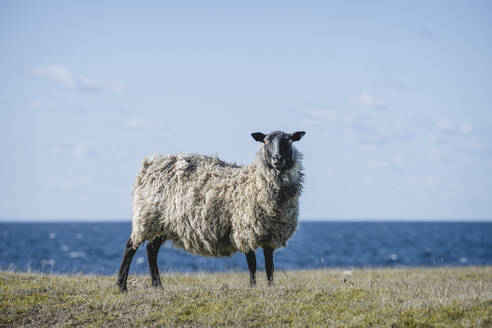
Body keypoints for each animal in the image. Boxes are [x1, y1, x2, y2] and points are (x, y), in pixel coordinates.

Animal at [117, 129, 306, 290]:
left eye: (288, 140)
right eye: (266, 141)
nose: (277, 159)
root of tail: (150, 164)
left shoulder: (269, 235)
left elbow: (269, 265)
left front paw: (270, 287)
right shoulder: (244, 231)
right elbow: (252, 264)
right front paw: (253, 287)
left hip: (166, 223)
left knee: (151, 249)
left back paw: (157, 285)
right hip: (147, 217)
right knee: (131, 247)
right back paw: (122, 286)